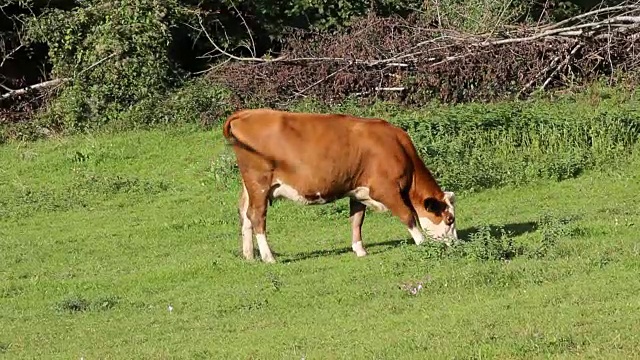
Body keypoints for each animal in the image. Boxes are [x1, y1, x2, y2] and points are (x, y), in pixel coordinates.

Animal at [222, 108, 458, 262]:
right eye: (449, 219)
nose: (457, 244)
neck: (396, 147)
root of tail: (246, 113)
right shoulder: (385, 190)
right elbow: (408, 215)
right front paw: (422, 242)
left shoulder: (358, 190)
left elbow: (357, 220)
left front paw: (360, 250)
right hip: (259, 183)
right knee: (257, 216)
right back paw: (268, 257)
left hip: (249, 186)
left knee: (244, 214)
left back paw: (249, 256)